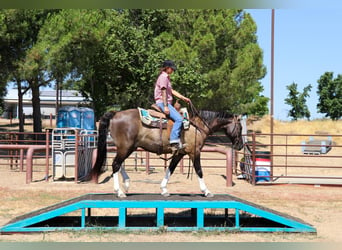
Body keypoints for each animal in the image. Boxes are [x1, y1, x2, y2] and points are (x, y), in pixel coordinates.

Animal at [91, 107, 244, 197]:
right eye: (240, 127)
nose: (240, 145)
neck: (197, 126)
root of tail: (116, 113)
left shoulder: (179, 153)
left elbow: (170, 168)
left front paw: (164, 189)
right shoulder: (195, 152)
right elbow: (199, 171)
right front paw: (206, 191)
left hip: (127, 148)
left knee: (119, 164)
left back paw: (127, 184)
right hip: (125, 148)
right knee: (116, 164)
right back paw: (119, 192)